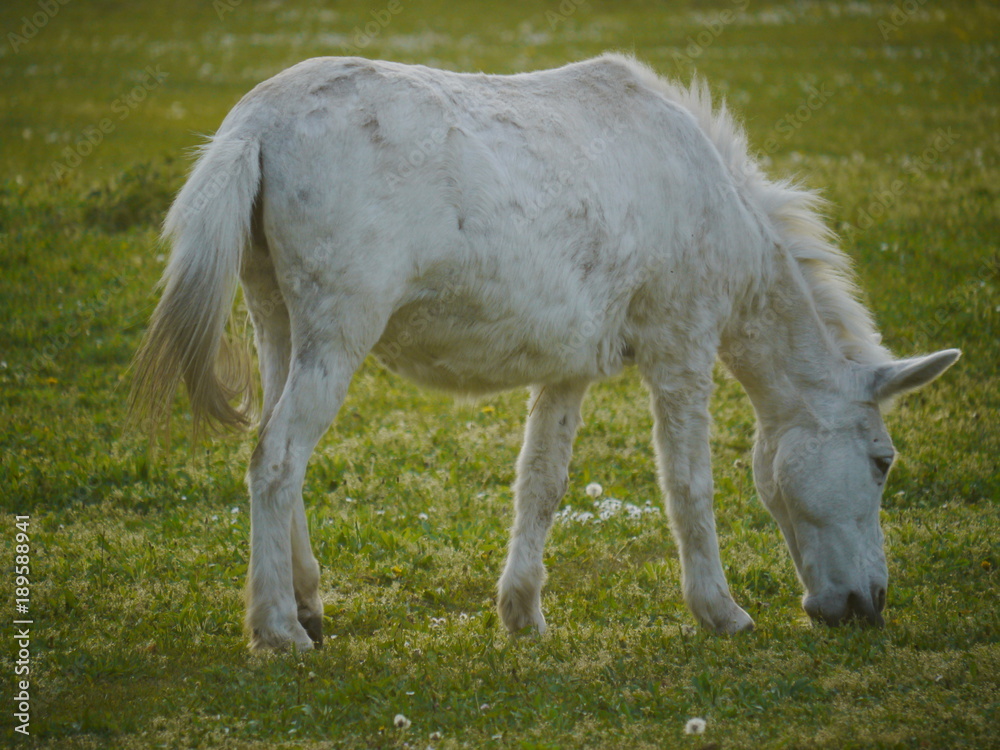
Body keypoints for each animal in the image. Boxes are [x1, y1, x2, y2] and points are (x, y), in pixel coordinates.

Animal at [129, 53, 960, 651]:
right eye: (883, 462)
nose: (869, 606)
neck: (709, 195)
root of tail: (258, 123)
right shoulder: (682, 354)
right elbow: (688, 487)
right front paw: (719, 612)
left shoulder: (568, 374)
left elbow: (541, 485)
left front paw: (522, 612)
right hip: (336, 336)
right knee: (275, 461)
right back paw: (276, 630)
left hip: (279, 328)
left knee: (285, 463)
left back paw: (307, 607)